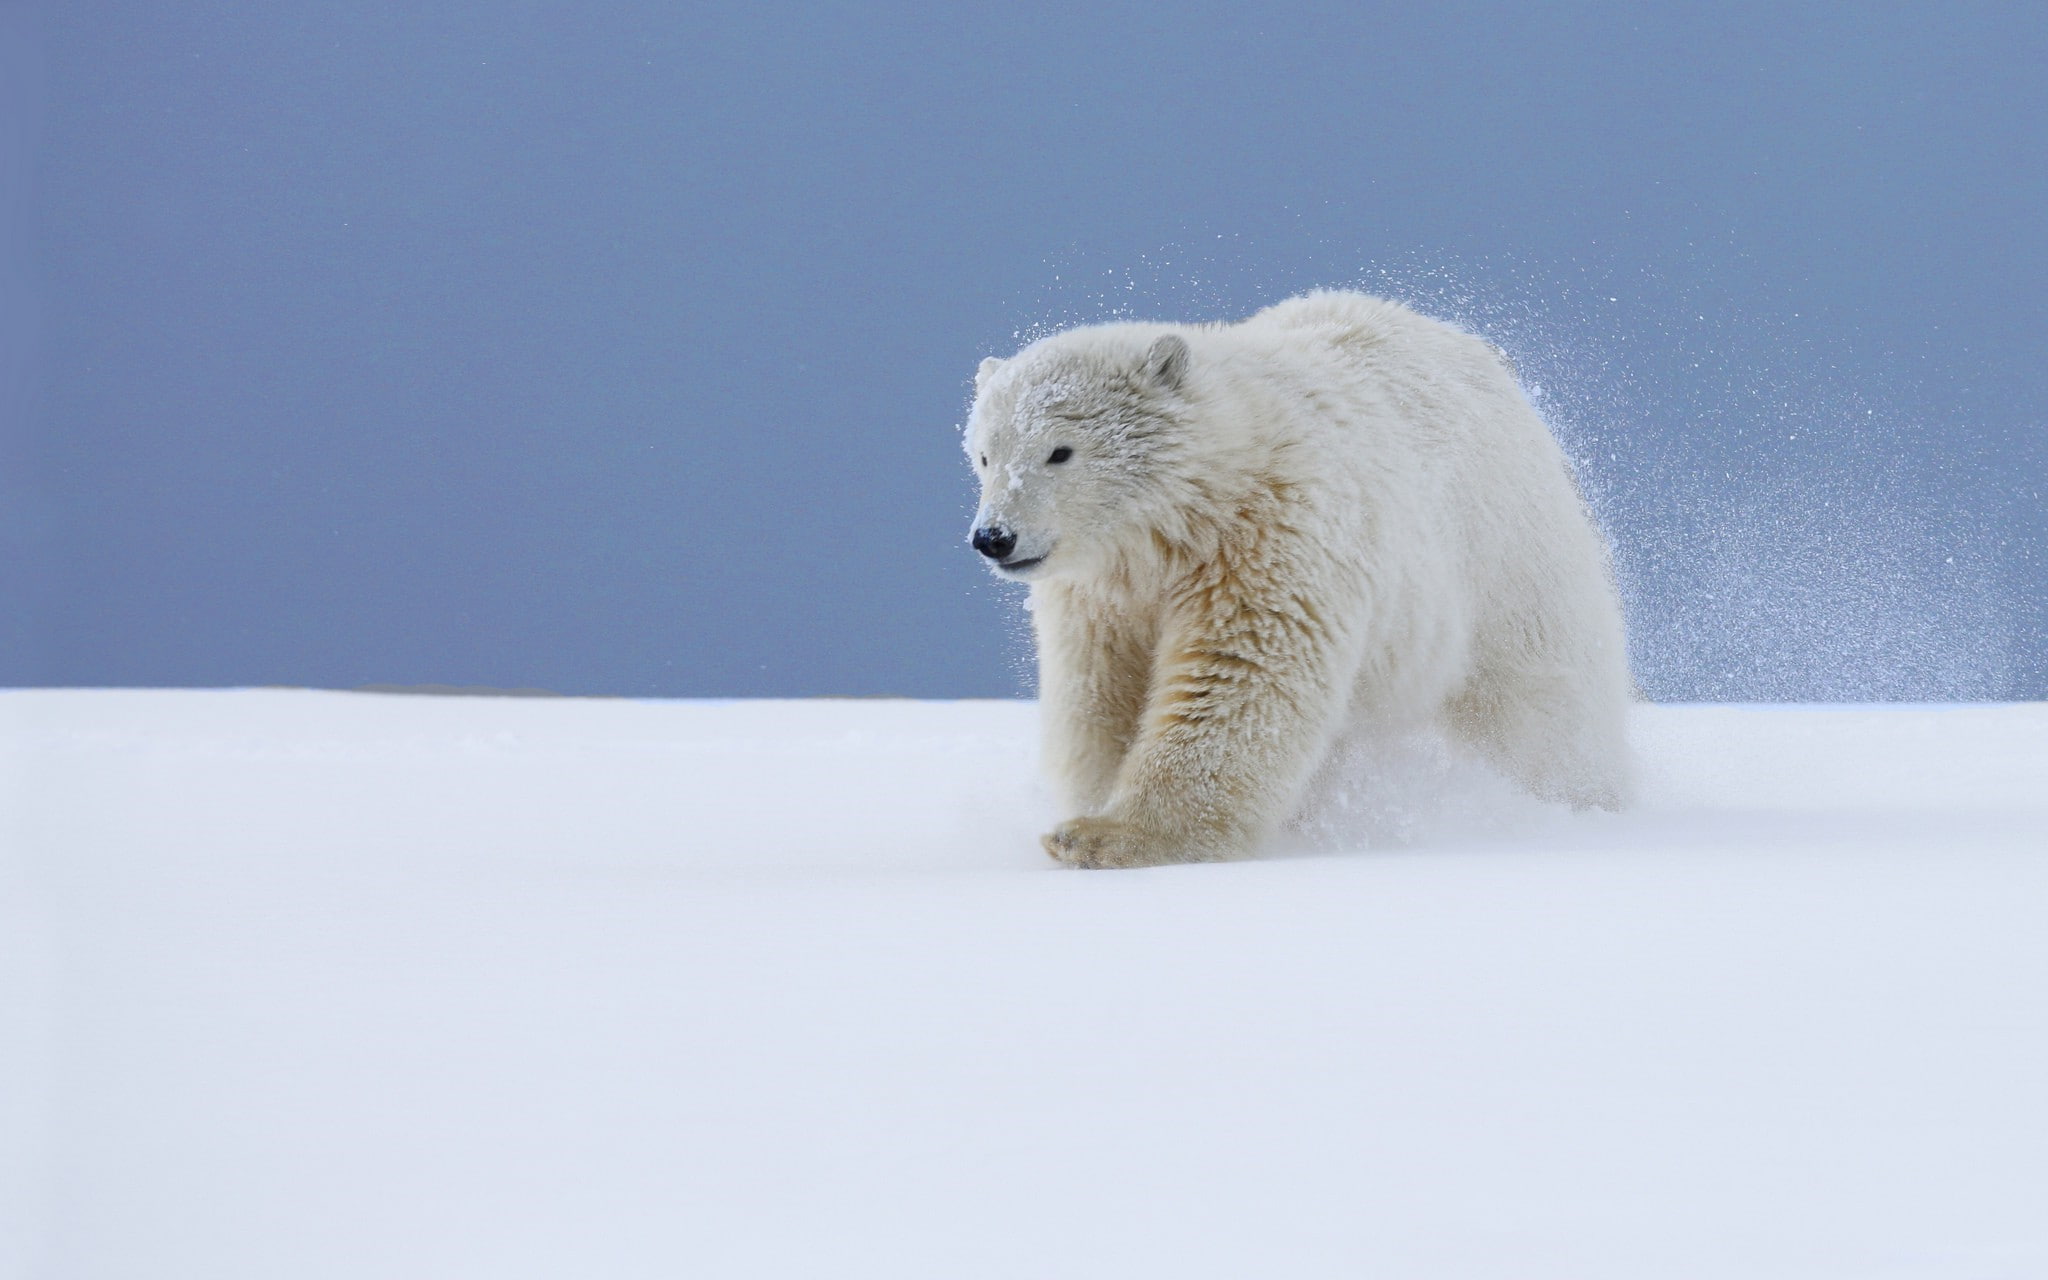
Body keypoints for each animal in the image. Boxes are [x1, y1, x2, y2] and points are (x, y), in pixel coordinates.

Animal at [964, 290, 1635, 869]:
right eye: (985, 454)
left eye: (1060, 451)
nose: (994, 537)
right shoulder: (1101, 593)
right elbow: (1100, 692)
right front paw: (1094, 806)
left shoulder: (1274, 537)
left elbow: (1239, 678)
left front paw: (1110, 837)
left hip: (1503, 556)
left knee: (1539, 707)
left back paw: (1572, 801)